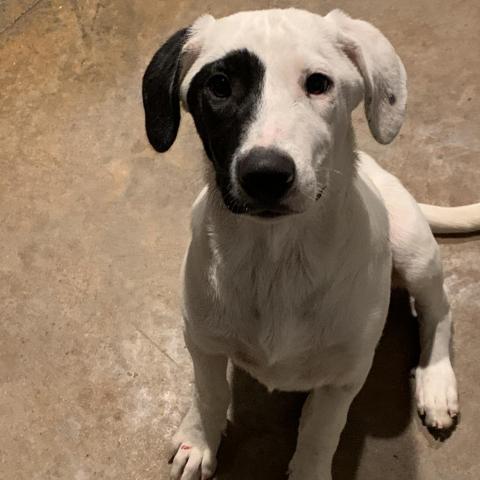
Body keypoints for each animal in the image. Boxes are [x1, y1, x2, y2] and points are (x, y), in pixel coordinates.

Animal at [141, 8, 478, 480]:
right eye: (219, 85)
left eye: (319, 83)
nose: (265, 174)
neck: (276, 258)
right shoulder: (203, 342)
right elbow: (209, 393)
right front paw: (199, 439)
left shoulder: (343, 379)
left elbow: (320, 434)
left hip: (414, 250)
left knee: (439, 310)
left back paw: (436, 383)